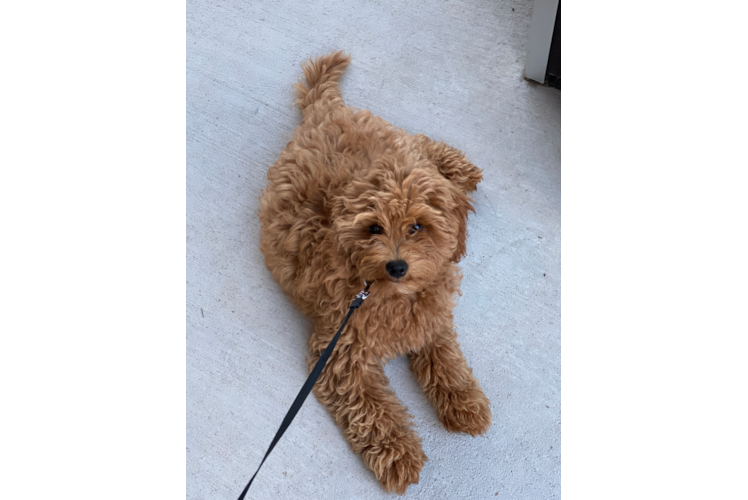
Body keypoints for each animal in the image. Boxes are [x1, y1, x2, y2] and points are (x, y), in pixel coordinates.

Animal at [258, 48, 490, 494]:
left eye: (417, 226)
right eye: (373, 228)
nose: (397, 266)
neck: (387, 293)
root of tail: (326, 111)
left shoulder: (431, 319)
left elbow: (447, 359)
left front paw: (464, 402)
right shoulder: (338, 352)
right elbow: (373, 410)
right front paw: (399, 455)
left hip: (399, 144)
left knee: (422, 145)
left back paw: (461, 170)